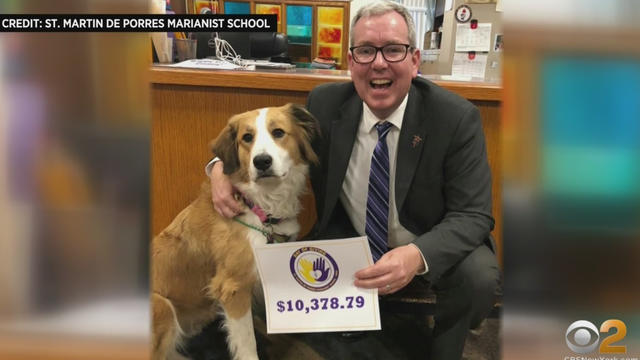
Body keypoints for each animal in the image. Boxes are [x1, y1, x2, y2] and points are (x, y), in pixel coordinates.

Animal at [151, 104, 320, 360]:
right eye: (247, 137)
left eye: (278, 132)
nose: (262, 162)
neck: (261, 207)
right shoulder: (233, 287)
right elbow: (247, 343)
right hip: (162, 307)